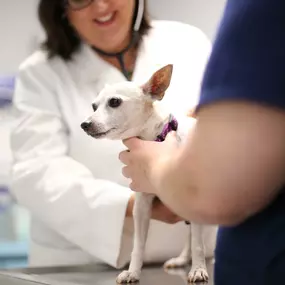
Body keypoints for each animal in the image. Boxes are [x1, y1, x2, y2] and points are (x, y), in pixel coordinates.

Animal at [81, 65, 216, 284]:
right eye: (93, 106)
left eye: (114, 102)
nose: (84, 124)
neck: (154, 140)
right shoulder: (141, 207)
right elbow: (139, 245)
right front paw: (133, 272)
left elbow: (198, 244)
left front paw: (198, 269)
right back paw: (181, 259)